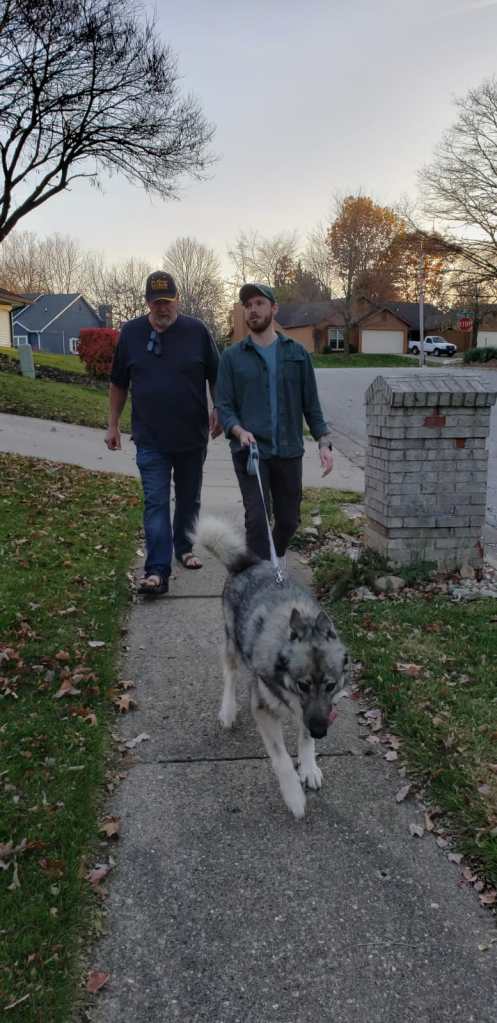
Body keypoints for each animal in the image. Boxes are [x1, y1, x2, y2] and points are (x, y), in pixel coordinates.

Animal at [193, 516, 350, 818]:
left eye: (330, 685)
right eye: (302, 684)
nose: (321, 731)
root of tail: (248, 564)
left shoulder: (311, 712)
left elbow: (304, 738)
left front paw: (309, 767)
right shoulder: (264, 709)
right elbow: (281, 759)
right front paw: (294, 797)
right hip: (232, 644)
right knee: (230, 675)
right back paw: (228, 710)